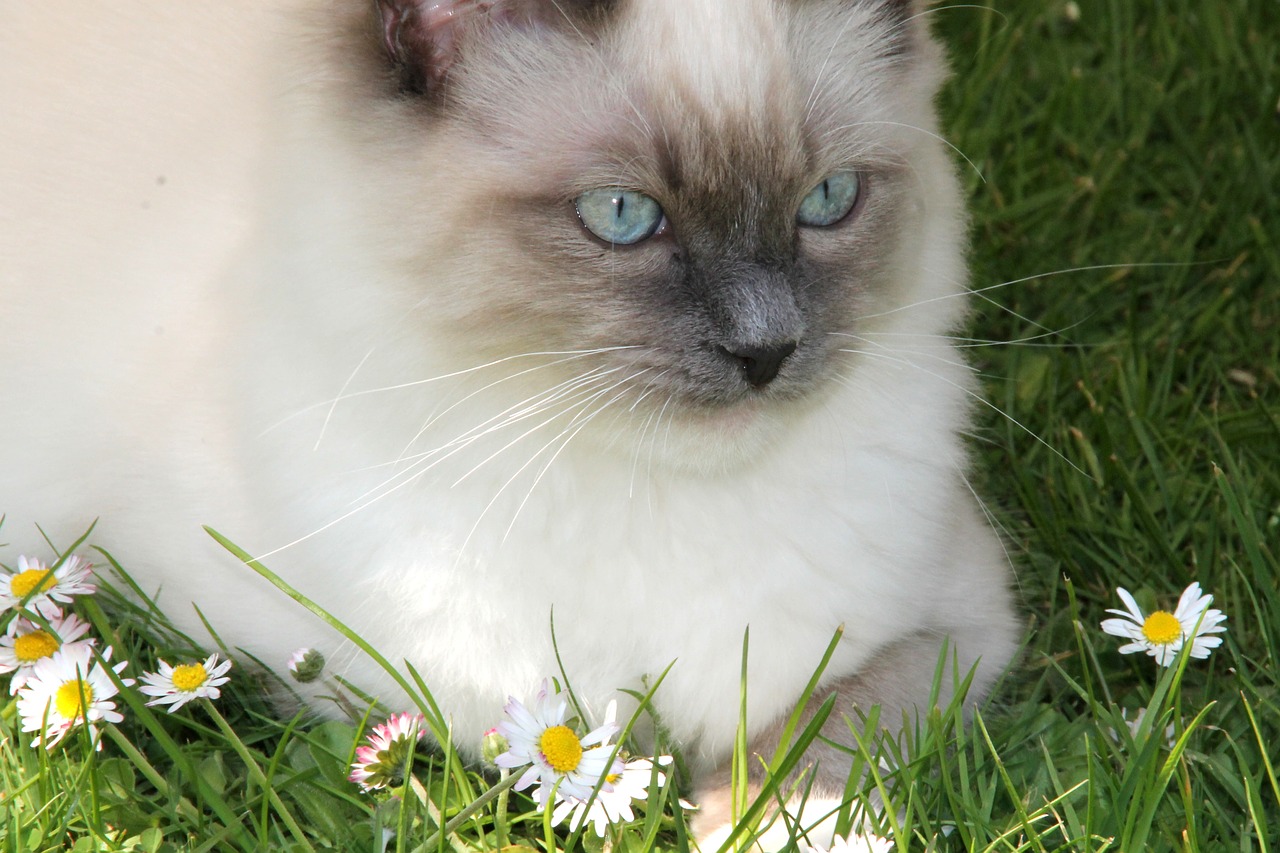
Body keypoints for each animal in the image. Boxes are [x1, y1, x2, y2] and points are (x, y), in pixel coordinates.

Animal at [0, 0, 1018, 845]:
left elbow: (810, 754)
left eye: (829, 201)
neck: (653, 497)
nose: (765, 350)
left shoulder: (951, 629)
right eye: (621, 214)